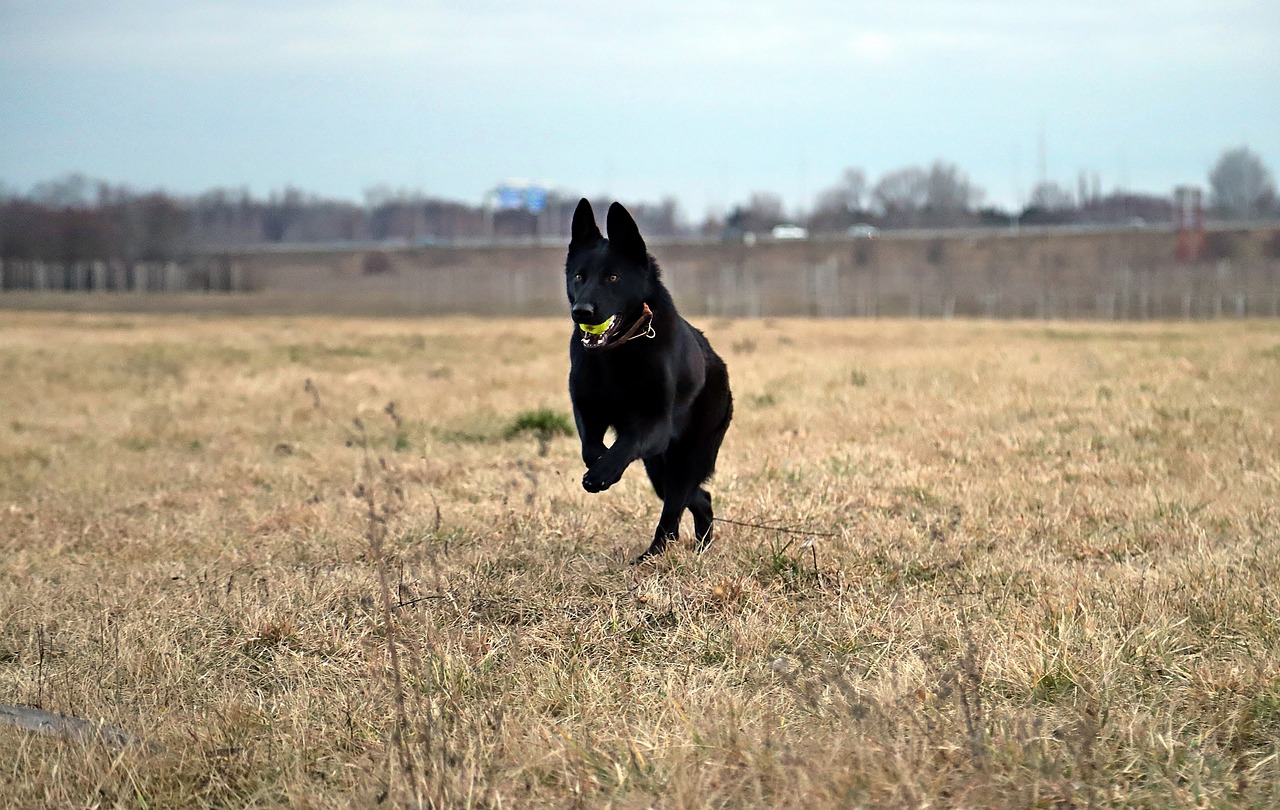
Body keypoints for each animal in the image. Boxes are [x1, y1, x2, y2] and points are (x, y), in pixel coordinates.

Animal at [568, 198, 737, 557]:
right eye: (579, 276)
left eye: (613, 277)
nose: (581, 312)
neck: (617, 352)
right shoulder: (587, 409)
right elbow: (591, 447)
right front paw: (600, 462)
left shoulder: (655, 424)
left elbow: (626, 443)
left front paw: (603, 473)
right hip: (659, 467)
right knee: (698, 497)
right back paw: (698, 546)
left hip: (683, 457)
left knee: (675, 507)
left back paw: (655, 554)